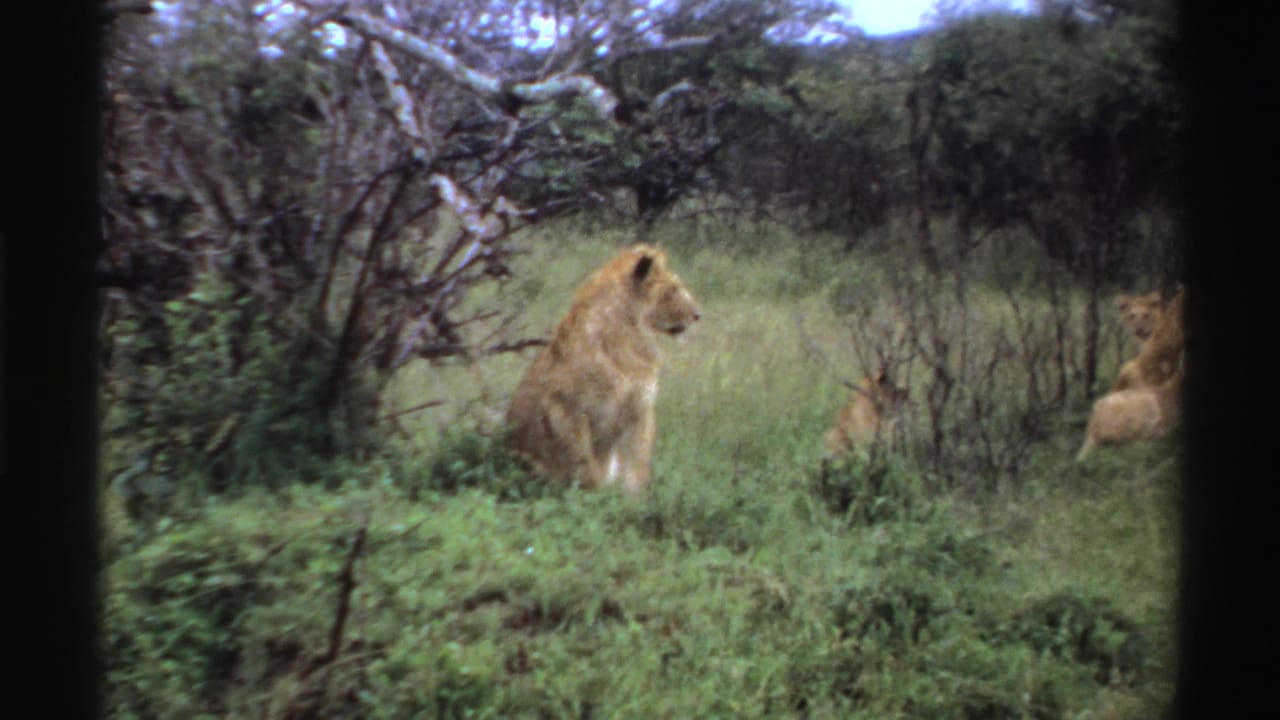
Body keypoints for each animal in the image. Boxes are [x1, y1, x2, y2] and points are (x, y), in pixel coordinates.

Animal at [504, 244, 701, 493]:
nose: (698, 314)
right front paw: (597, 496)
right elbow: (586, 466)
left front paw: (632, 499)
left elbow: (637, 466)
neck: (630, 336)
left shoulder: (640, 410)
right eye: (673, 289)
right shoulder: (565, 408)